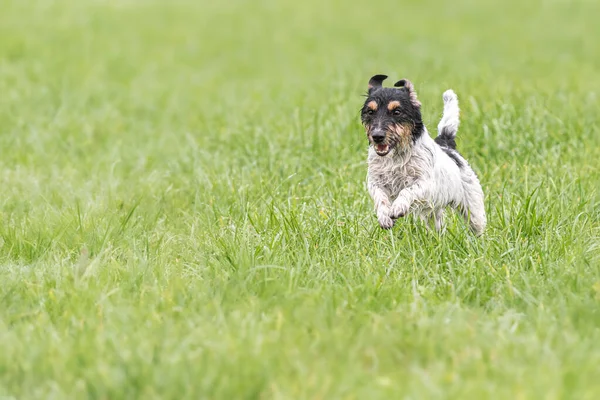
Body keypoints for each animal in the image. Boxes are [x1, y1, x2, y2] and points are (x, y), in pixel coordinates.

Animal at [358, 74, 486, 234]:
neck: (396, 156)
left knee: (477, 225)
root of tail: (447, 145)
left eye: (397, 112)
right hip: (433, 214)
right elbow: (380, 197)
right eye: (370, 112)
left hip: (473, 208)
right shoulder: (375, 182)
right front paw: (384, 217)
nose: (377, 136)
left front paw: (398, 207)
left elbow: (407, 190)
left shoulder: (425, 183)